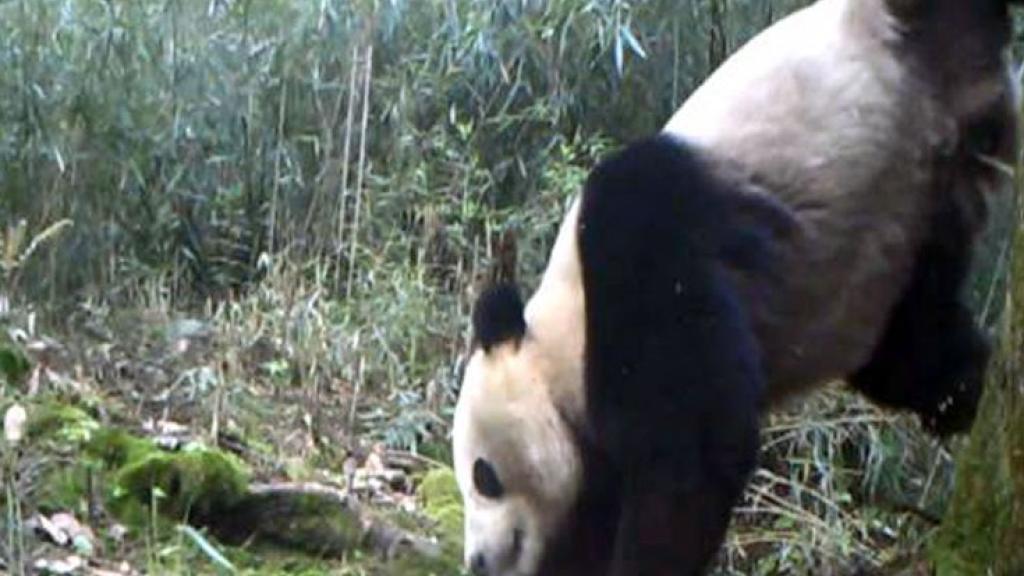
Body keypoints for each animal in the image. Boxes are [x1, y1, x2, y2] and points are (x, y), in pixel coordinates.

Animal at [452, 0, 1020, 574]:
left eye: (483, 475)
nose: (477, 559)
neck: (564, 335)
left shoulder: (641, 251)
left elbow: (691, 452)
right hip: (915, 216)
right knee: (914, 341)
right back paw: (966, 388)